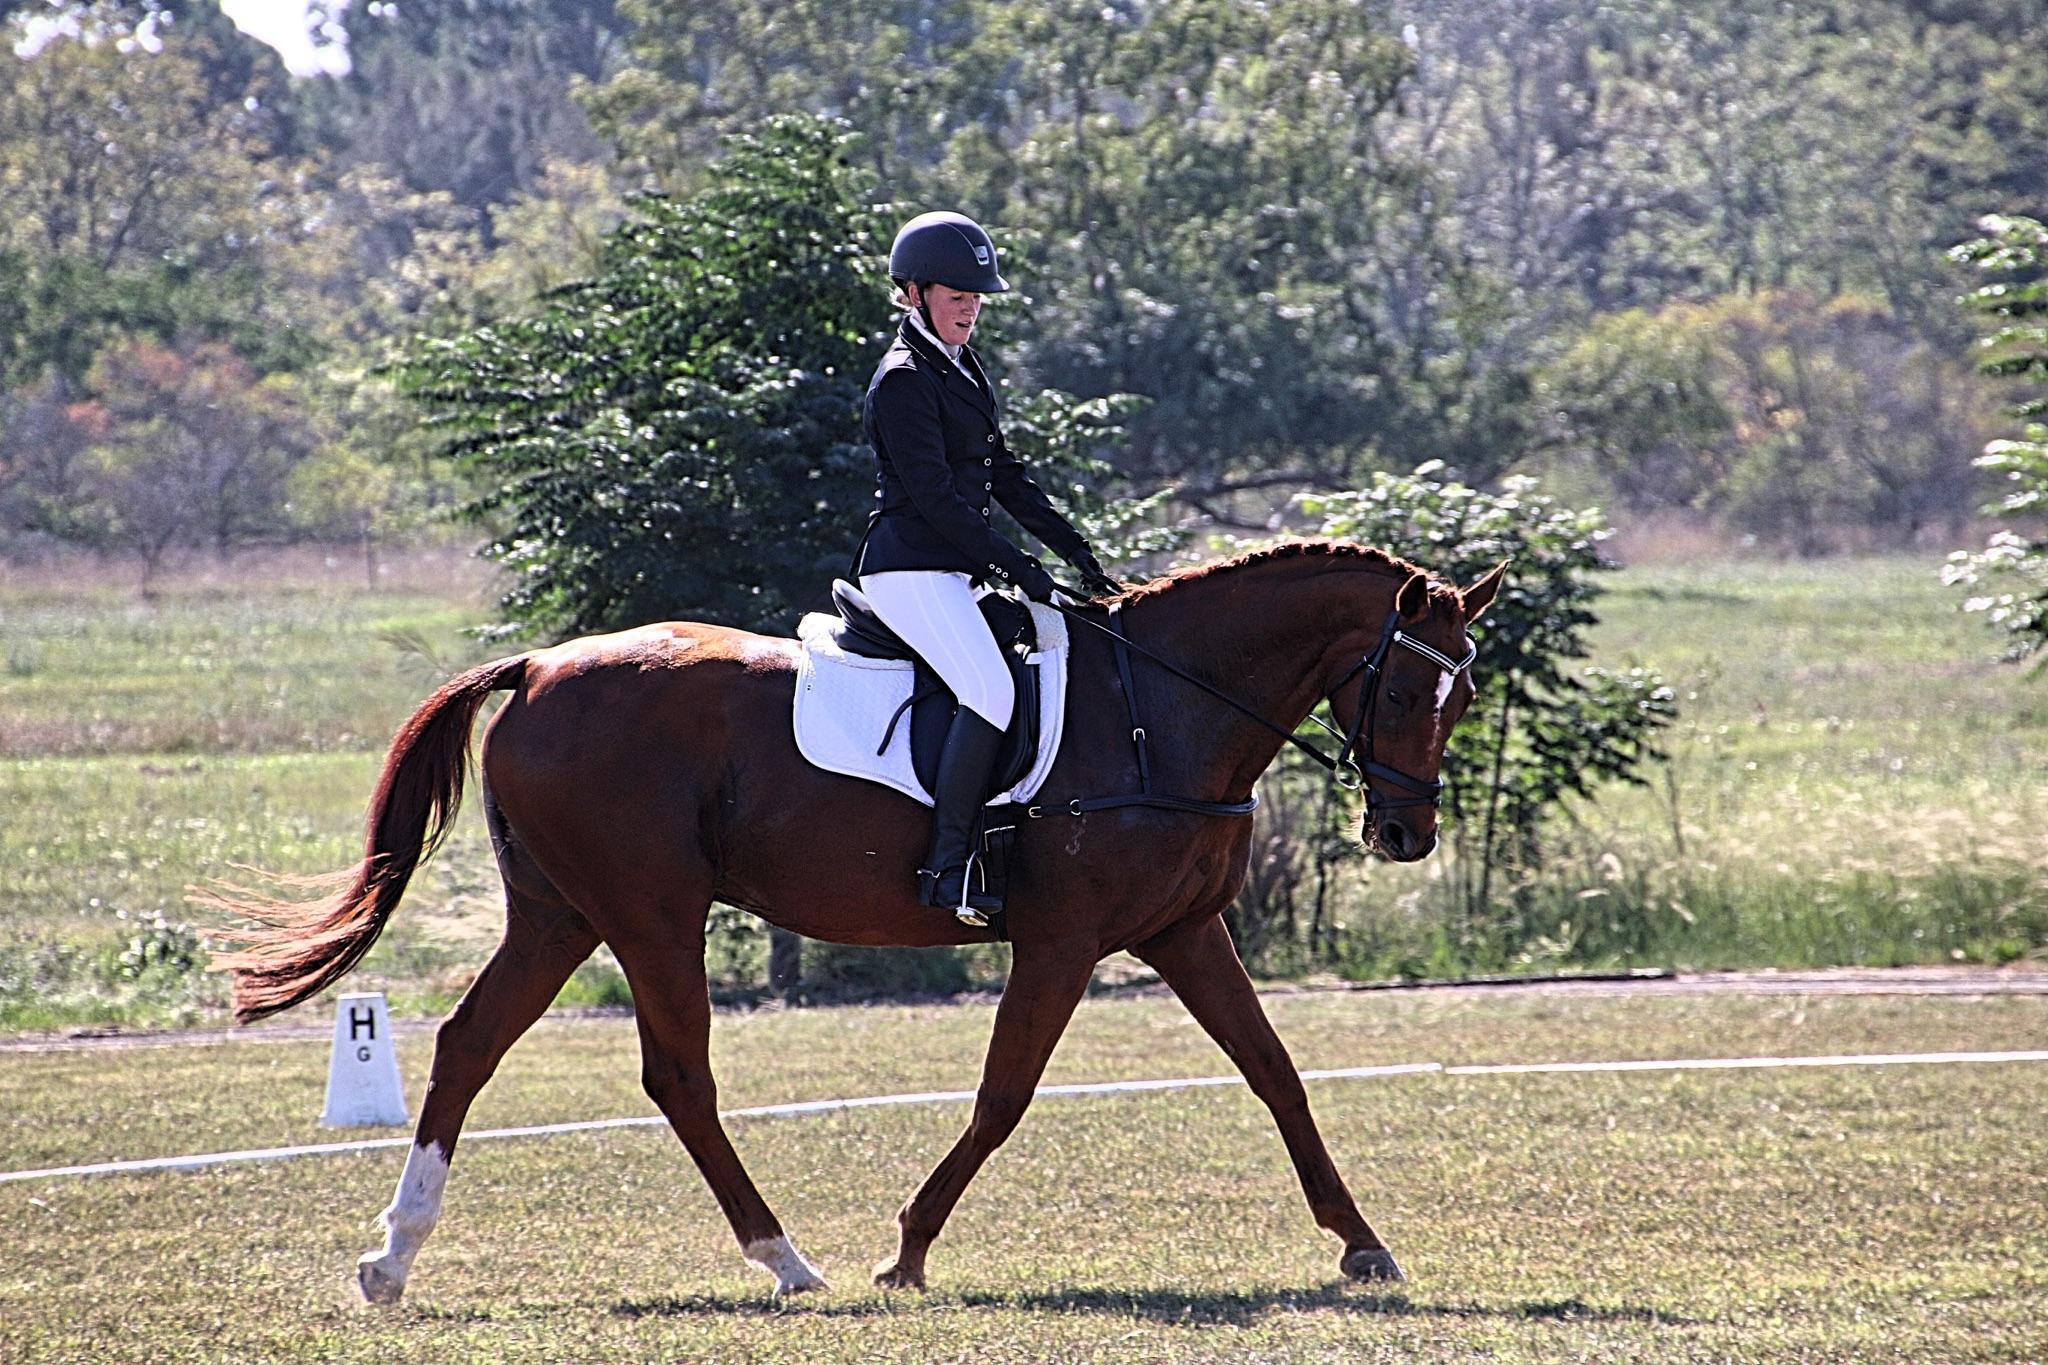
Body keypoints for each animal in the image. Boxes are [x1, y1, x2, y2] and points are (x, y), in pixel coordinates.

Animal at [212, 539, 1503, 1303]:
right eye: (1401, 685)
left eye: (1463, 694)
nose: (1404, 834)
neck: (1159, 710)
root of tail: (535, 668)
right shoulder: (1063, 944)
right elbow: (1001, 1098)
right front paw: (907, 1249)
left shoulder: (1183, 933)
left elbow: (1276, 1074)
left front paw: (1361, 1243)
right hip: (650, 911)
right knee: (677, 1075)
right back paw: (787, 1260)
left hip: (559, 915)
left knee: (471, 1045)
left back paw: (391, 1259)